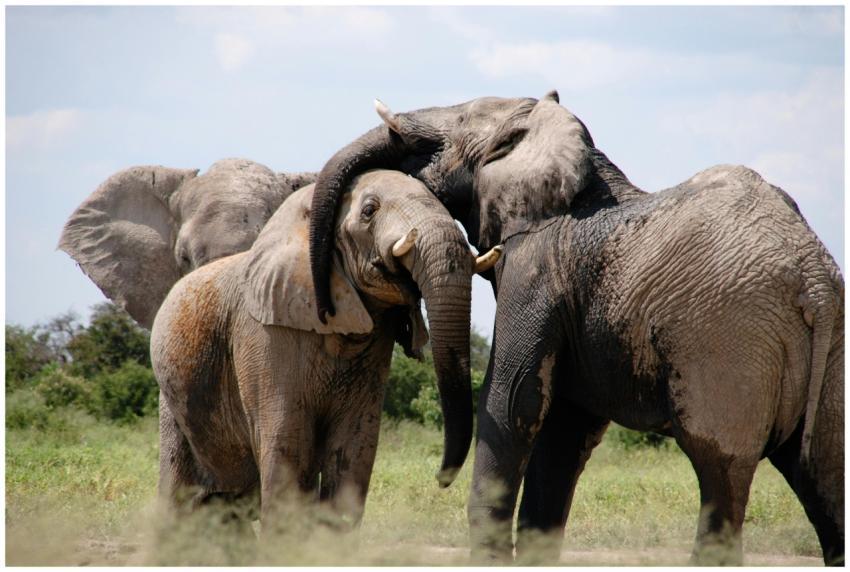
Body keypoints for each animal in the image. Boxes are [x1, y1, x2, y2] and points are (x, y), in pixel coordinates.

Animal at [150, 169, 502, 530]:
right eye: (369, 211)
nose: (440, 479)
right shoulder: (265, 336)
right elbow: (288, 447)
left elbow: (354, 449)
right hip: (172, 401)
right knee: (179, 496)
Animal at [305, 92, 844, 565]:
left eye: (456, 125)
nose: (326, 308)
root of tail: (813, 279)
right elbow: (563, 429)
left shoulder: (536, 266)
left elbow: (513, 401)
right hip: (832, 348)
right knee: (824, 477)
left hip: (728, 340)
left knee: (720, 475)